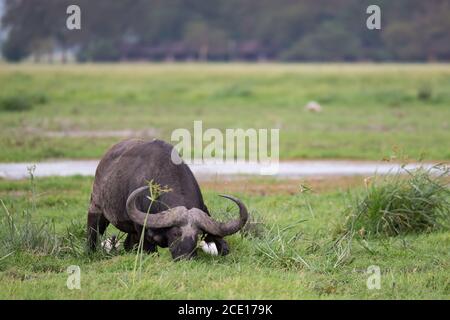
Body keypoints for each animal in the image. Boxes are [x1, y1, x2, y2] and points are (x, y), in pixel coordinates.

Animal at [86, 139, 248, 258]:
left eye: (197, 235)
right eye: (175, 233)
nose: (186, 257)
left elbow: (223, 246)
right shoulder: (143, 231)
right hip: (96, 209)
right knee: (93, 235)